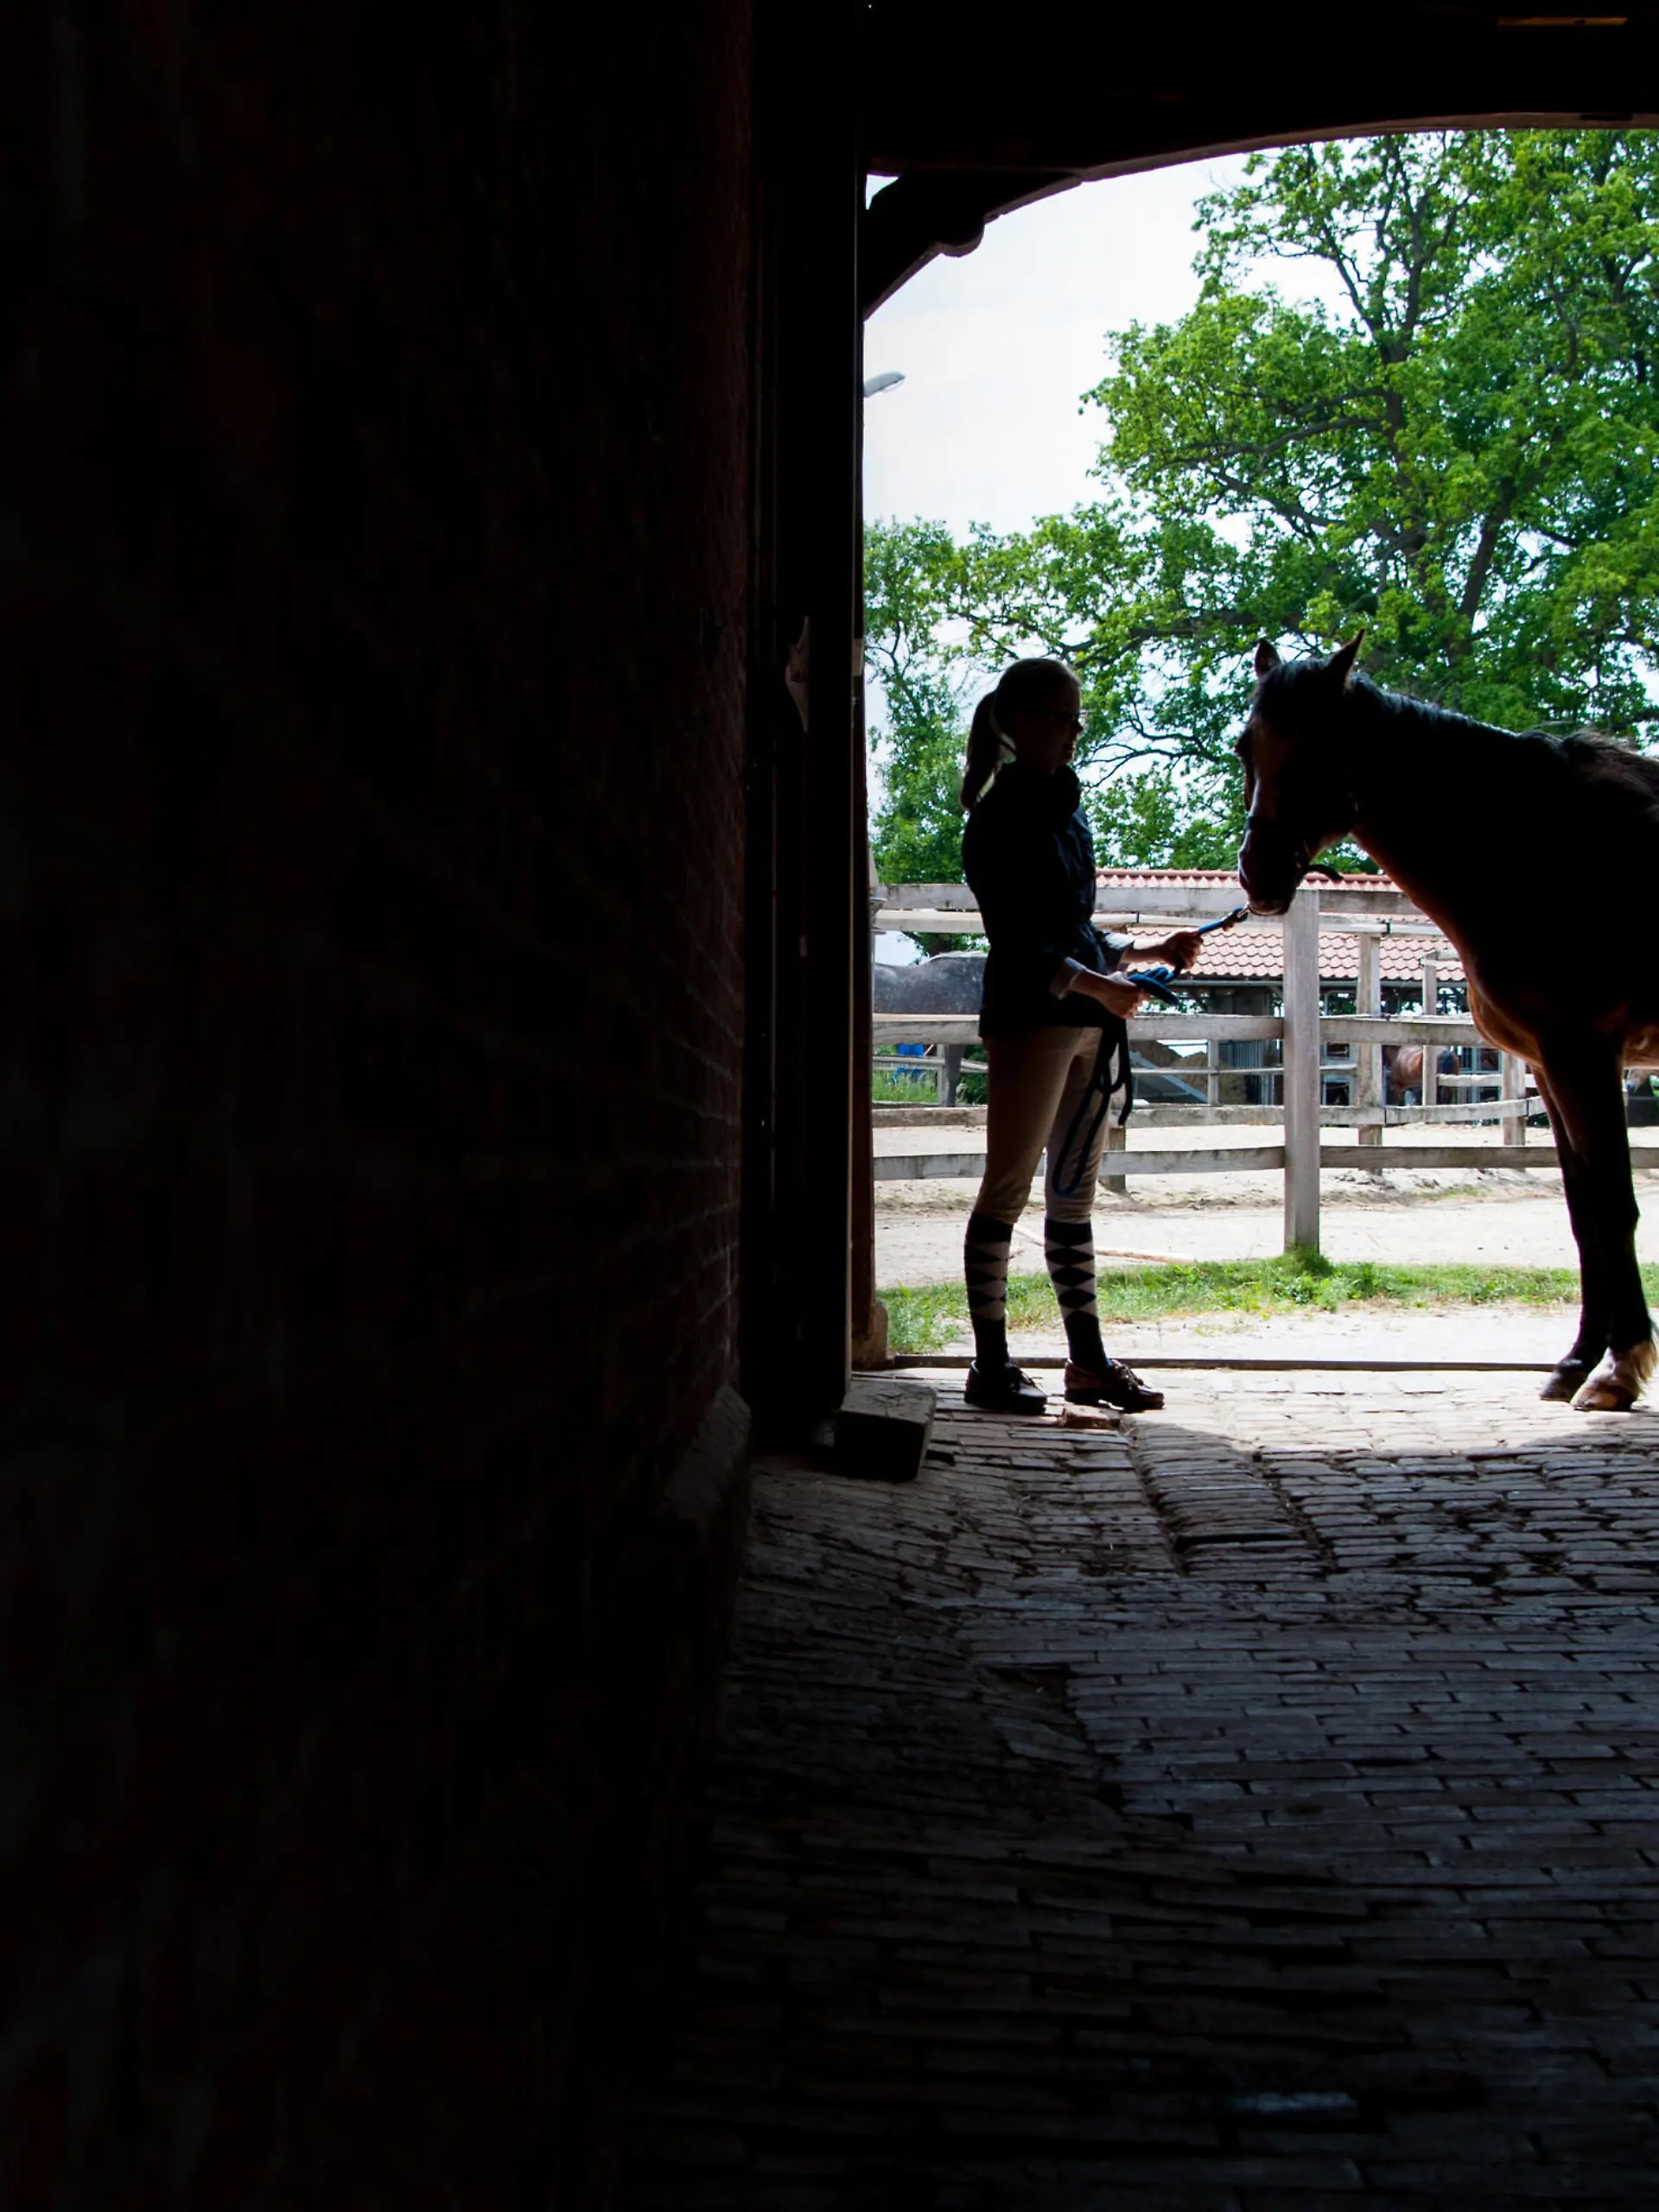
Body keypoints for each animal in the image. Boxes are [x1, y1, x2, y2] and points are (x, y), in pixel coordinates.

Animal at [1237, 634, 1659, 1411]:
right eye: (1248, 744)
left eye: (1317, 744)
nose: (1259, 874)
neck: (1541, 847)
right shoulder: (1553, 1068)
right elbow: (1585, 1212)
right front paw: (1578, 1361)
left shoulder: (1586, 1057)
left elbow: (1615, 1206)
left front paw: (1620, 1370)